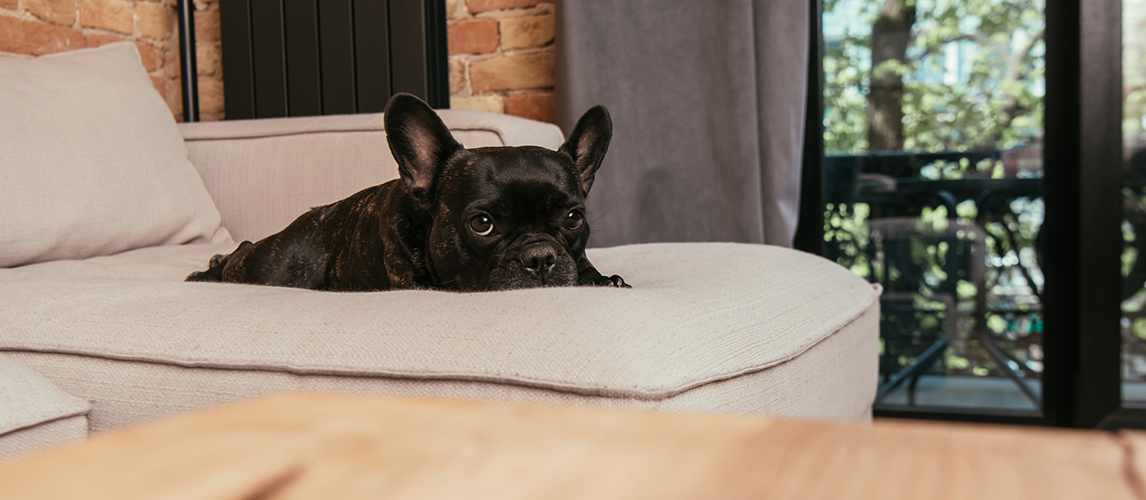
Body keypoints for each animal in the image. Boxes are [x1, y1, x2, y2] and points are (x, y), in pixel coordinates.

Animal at [185, 92, 628, 292]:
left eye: (574, 218)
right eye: (482, 224)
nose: (540, 257)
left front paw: (604, 279)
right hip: (275, 266)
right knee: (238, 259)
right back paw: (207, 269)